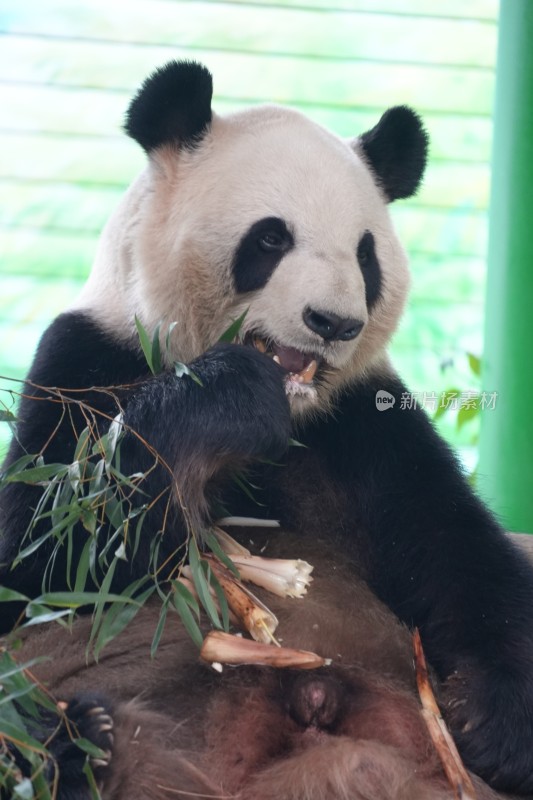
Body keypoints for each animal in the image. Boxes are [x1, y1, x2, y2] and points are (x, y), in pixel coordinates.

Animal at [1, 59, 532, 796]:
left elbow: (457, 548)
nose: (334, 322)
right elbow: (52, 564)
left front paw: (497, 724)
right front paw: (230, 398)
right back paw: (84, 749)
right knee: (27, 717)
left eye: (365, 256)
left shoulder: (363, 422)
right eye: (272, 238)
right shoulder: (84, 364)